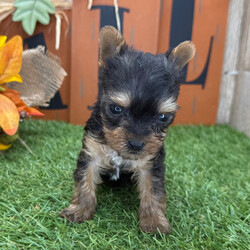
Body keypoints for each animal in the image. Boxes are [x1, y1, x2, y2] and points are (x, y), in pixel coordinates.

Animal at [60, 25, 195, 234]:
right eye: (116, 109)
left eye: (163, 117)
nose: (137, 144)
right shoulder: (91, 151)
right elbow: (84, 180)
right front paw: (79, 210)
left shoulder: (151, 163)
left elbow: (153, 191)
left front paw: (154, 222)